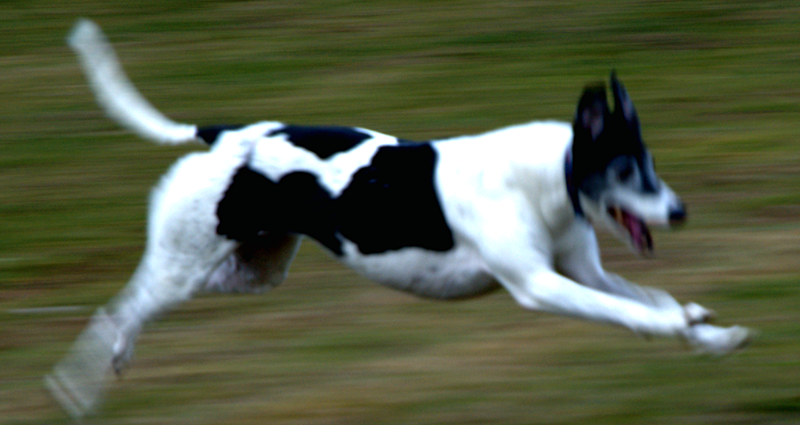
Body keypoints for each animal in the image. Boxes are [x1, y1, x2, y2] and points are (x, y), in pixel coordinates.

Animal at [48, 19, 752, 418]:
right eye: (628, 171)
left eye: (652, 165)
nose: (680, 211)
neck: (546, 176)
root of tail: (223, 136)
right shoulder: (543, 286)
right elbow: (630, 311)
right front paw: (683, 327)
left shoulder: (584, 273)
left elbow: (648, 297)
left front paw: (706, 332)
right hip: (184, 265)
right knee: (120, 308)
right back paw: (80, 386)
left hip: (249, 270)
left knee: (138, 304)